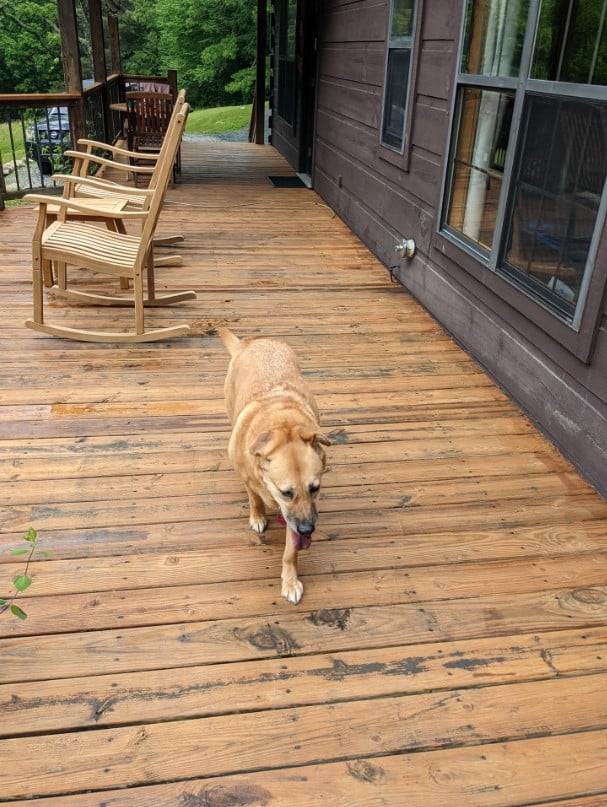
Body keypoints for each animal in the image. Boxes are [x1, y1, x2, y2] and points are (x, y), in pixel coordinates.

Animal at [220, 330, 332, 608]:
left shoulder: (296, 516)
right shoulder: (251, 481)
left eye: (315, 488)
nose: (308, 531)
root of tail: (253, 341)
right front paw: (258, 516)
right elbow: (254, 498)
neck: (283, 422)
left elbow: (291, 551)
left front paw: (290, 581)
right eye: (286, 492)